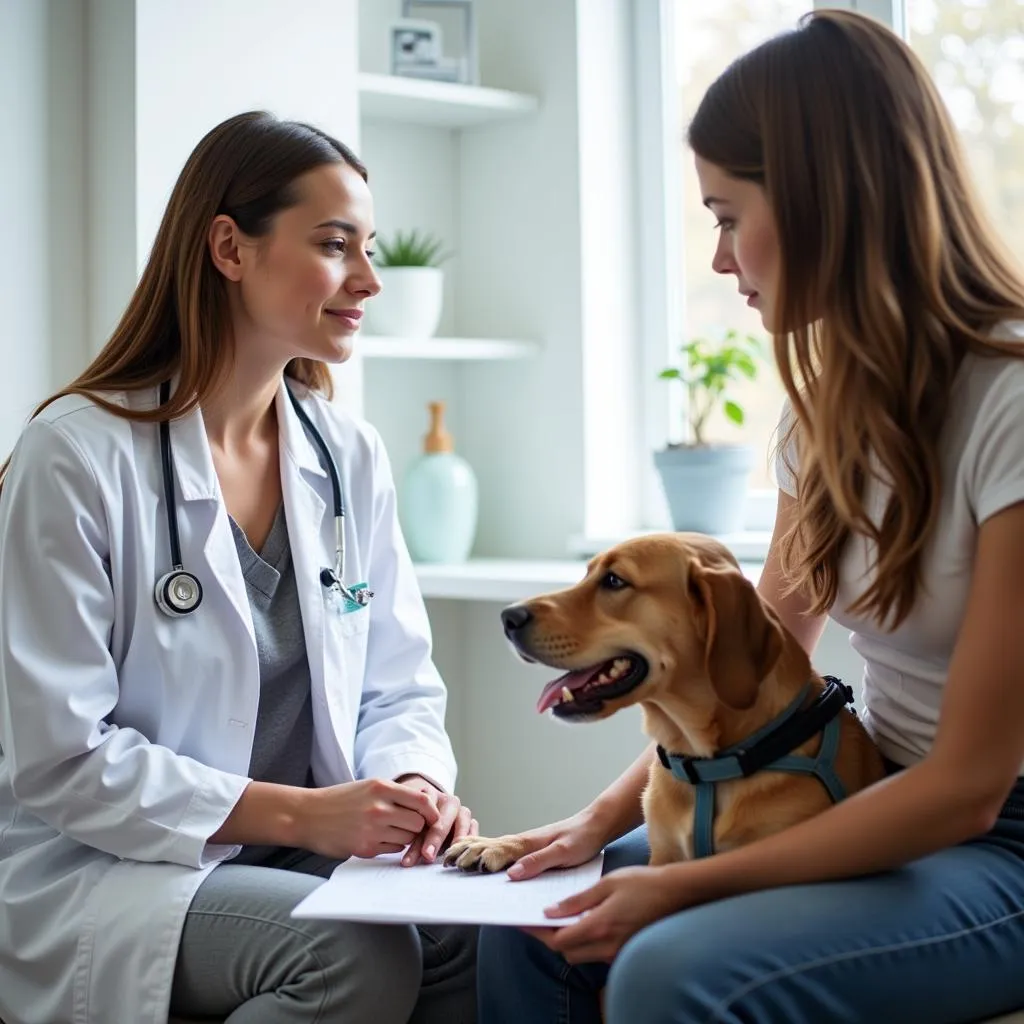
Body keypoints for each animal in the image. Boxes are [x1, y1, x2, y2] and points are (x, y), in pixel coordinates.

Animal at [444, 536, 884, 872]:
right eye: (587, 574)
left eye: (614, 580)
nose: (508, 617)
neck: (708, 765)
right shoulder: (664, 857)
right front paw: (503, 843)